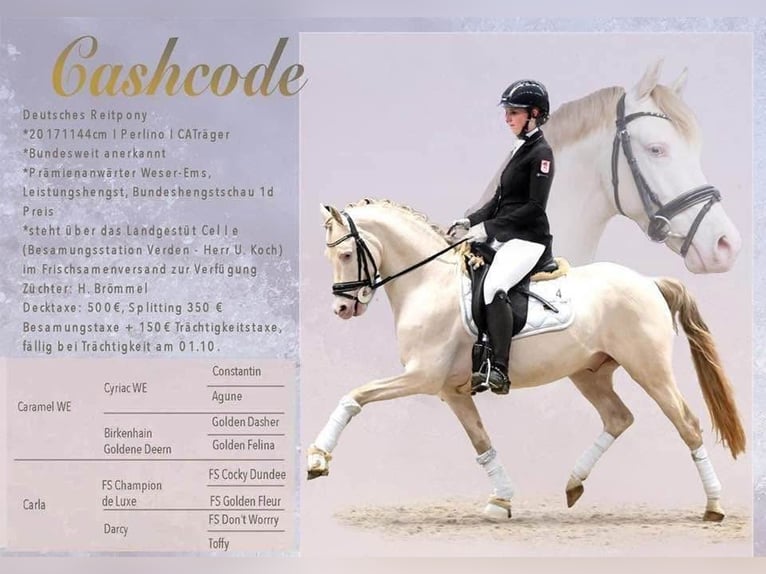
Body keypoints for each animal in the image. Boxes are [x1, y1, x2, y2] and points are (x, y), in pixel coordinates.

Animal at [306, 199, 745, 522]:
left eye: (346, 253)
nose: (341, 308)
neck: (429, 283)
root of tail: (649, 283)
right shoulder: (452, 391)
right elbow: (482, 443)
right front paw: (500, 502)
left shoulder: (421, 377)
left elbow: (355, 396)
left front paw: (317, 458)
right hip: (589, 373)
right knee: (618, 417)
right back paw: (573, 483)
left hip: (649, 369)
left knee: (687, 425)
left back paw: (713, 506)